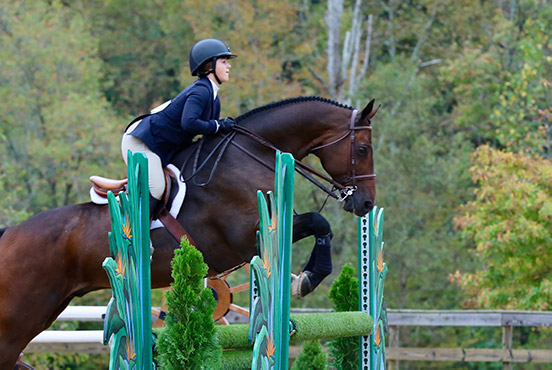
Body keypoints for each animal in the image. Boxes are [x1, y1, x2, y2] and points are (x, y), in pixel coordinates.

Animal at [0, 96, 376, 368]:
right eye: (363, 149)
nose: (366, 203)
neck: (252, 153)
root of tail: (10, 233)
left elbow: (317, 226)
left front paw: (303, 278)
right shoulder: (246, 235)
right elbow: (318, 222)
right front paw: (308, 278)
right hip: (20, 315)